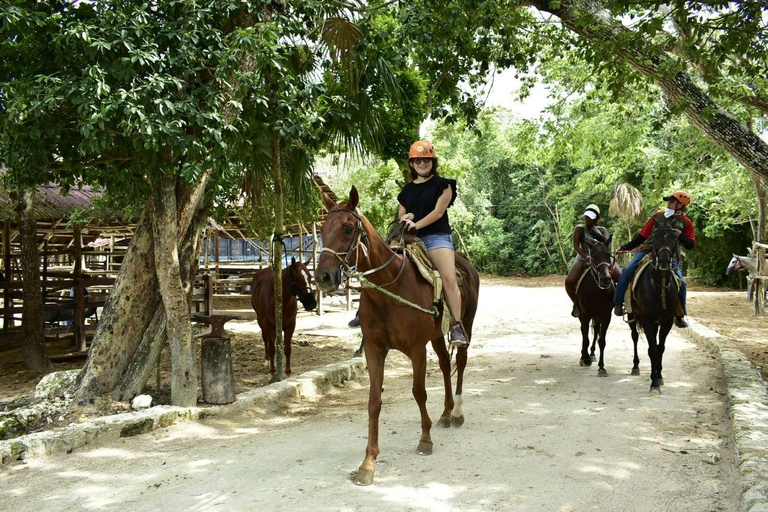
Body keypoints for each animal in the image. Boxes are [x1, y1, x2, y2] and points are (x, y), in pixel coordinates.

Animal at [314, 188, 480, 488]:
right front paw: (368, 462)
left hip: (467, 324)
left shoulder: (416, 348)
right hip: (436, 337)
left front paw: (425, 440)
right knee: (444, 366)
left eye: (348, 228)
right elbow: (374, 401)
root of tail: (466, 264)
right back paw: (445, 413)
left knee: (460, 362)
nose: (323, 277)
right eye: (321, 230)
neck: (389, 287)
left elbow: (419, 392)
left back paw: (457, 412)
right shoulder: (375, 349)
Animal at [576, 237, 616, 376]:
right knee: (584, 332)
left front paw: (602, 367)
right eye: (593, 256)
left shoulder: (606, 316)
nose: (605, 279)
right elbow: (585, 337)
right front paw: (585, 359)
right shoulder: (585, 315)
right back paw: (585, 356)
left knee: (596, 331)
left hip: (597, 317)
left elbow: (602, 341)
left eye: (608, 255)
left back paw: (592, 353)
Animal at [628, 224, 680, 396]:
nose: (664, 261)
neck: (659, 286)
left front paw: (659, 375)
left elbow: (660, 348)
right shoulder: (647, 320)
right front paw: (654, 383)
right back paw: (635, 366)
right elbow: (652, 350)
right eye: (655, 238)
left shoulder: (667, 321)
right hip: (632, 316)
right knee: (635, 337)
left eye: (673, 238)